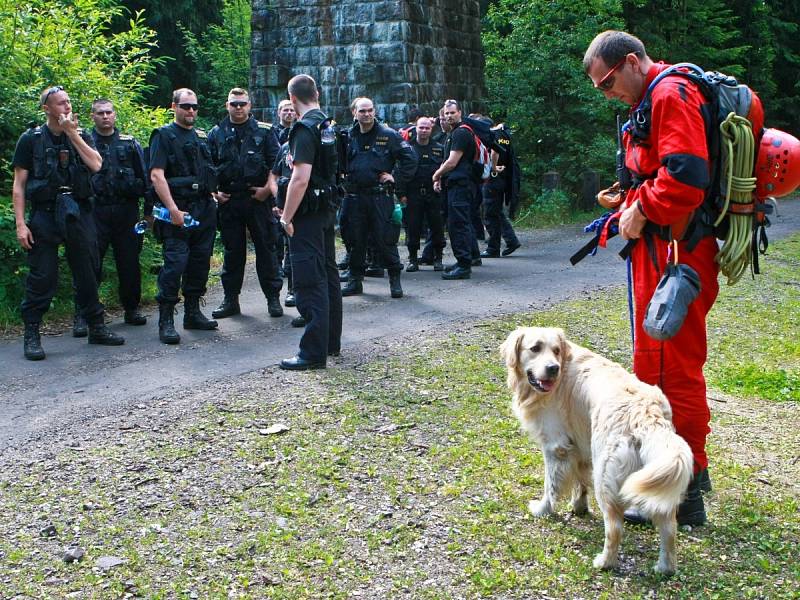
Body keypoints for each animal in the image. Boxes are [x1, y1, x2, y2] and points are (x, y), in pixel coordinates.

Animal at [500, 328, 692, 576]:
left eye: (556, 351)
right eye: (535, 348)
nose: (553, 368)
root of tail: (648, 414)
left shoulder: (555, 446)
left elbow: (550, 486)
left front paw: (543, 509)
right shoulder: (580, 445)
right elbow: (580, 482)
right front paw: (578, 506)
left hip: (605, 476)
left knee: (615, 527)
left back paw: (604, 562)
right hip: (654, 479)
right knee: (669, 527)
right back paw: (664, 568)